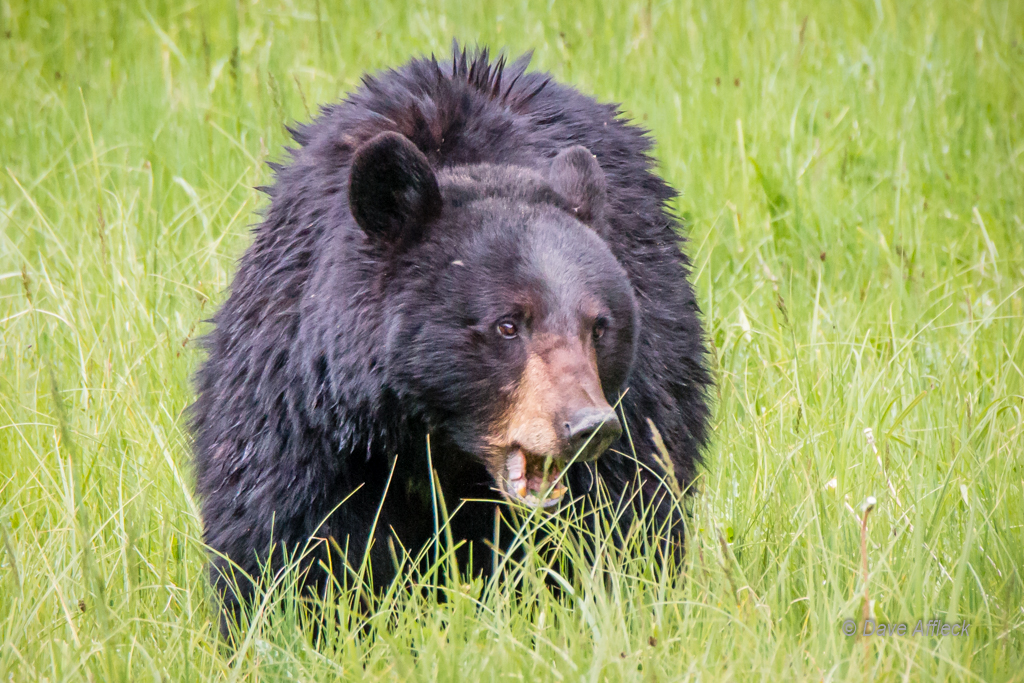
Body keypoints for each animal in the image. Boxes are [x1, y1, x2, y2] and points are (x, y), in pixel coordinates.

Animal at [195, 44, 716, 630]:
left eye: (599, 327)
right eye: (507, 324)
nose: (587, 426)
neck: (434, 436)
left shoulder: (634, 407)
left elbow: (618, 519)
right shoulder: (304, 407)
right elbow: (288, 535)